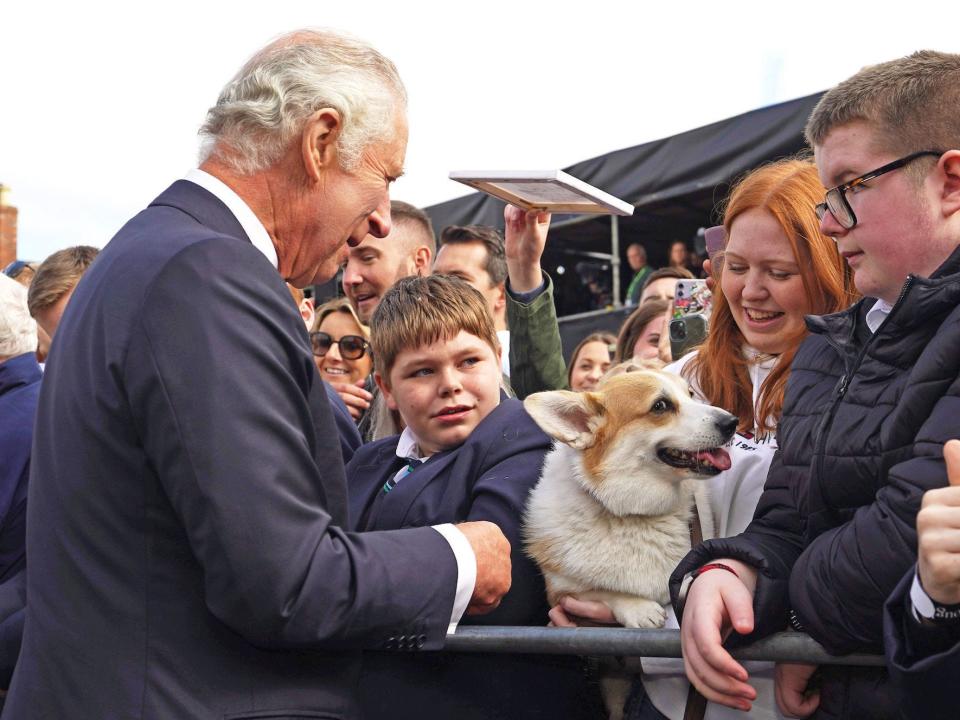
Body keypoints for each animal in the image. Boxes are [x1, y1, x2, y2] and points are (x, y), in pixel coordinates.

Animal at [524, 368, 736, 628]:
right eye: (660, 405)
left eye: (690, 394)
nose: (732, 422)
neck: (634, 512)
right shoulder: (561, 594)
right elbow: (601, 591)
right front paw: (639, 608)